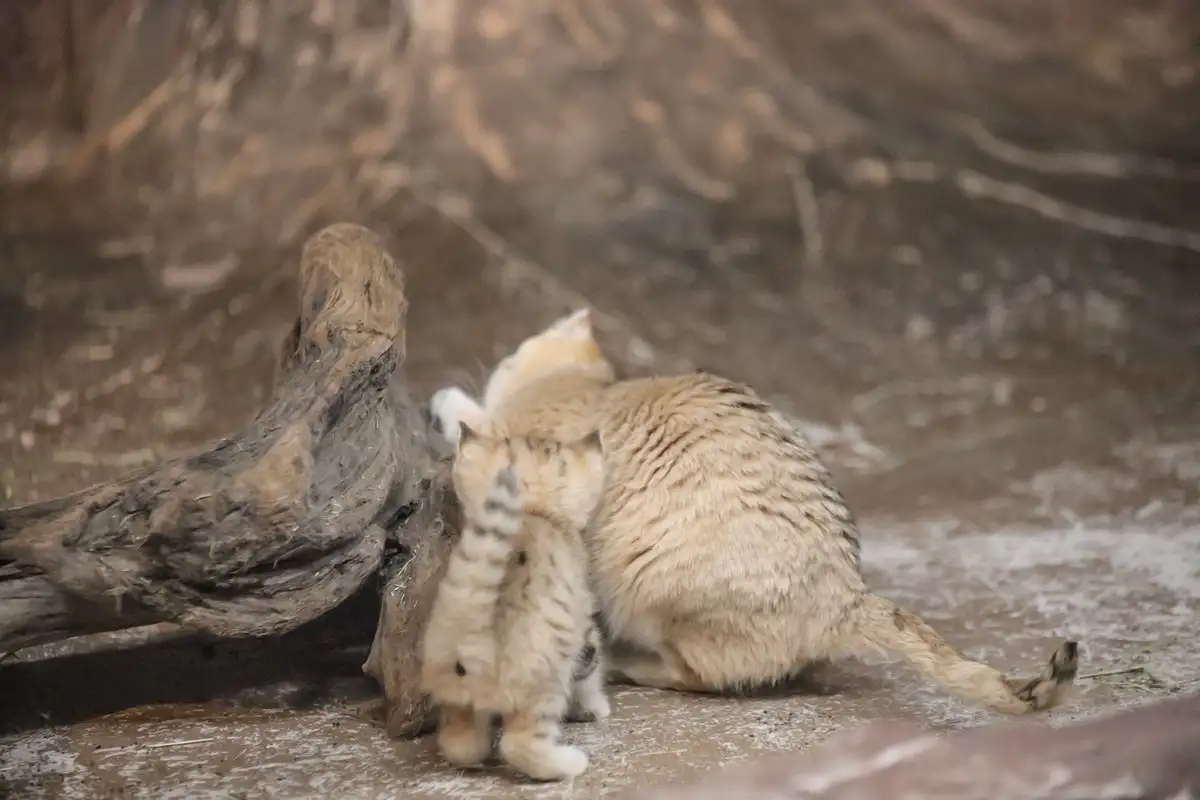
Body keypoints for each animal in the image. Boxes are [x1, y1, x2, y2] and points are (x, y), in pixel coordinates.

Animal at [420, 424, 609, 782]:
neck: (533, 510)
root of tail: (472, 636)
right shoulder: (583, 629)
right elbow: (590, 671)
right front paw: (596, 707)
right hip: (544, 681)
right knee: (518, 745)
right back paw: (569, 763)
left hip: (457, 698)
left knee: (459, 742)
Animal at [429, 309, 1080, 714]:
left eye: (513, 353)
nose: (502, 359)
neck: (586, 389)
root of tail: (849, 596)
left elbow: (474, 427)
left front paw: (447, 402)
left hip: (659, 598)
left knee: (698, 675)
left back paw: (627, 662)